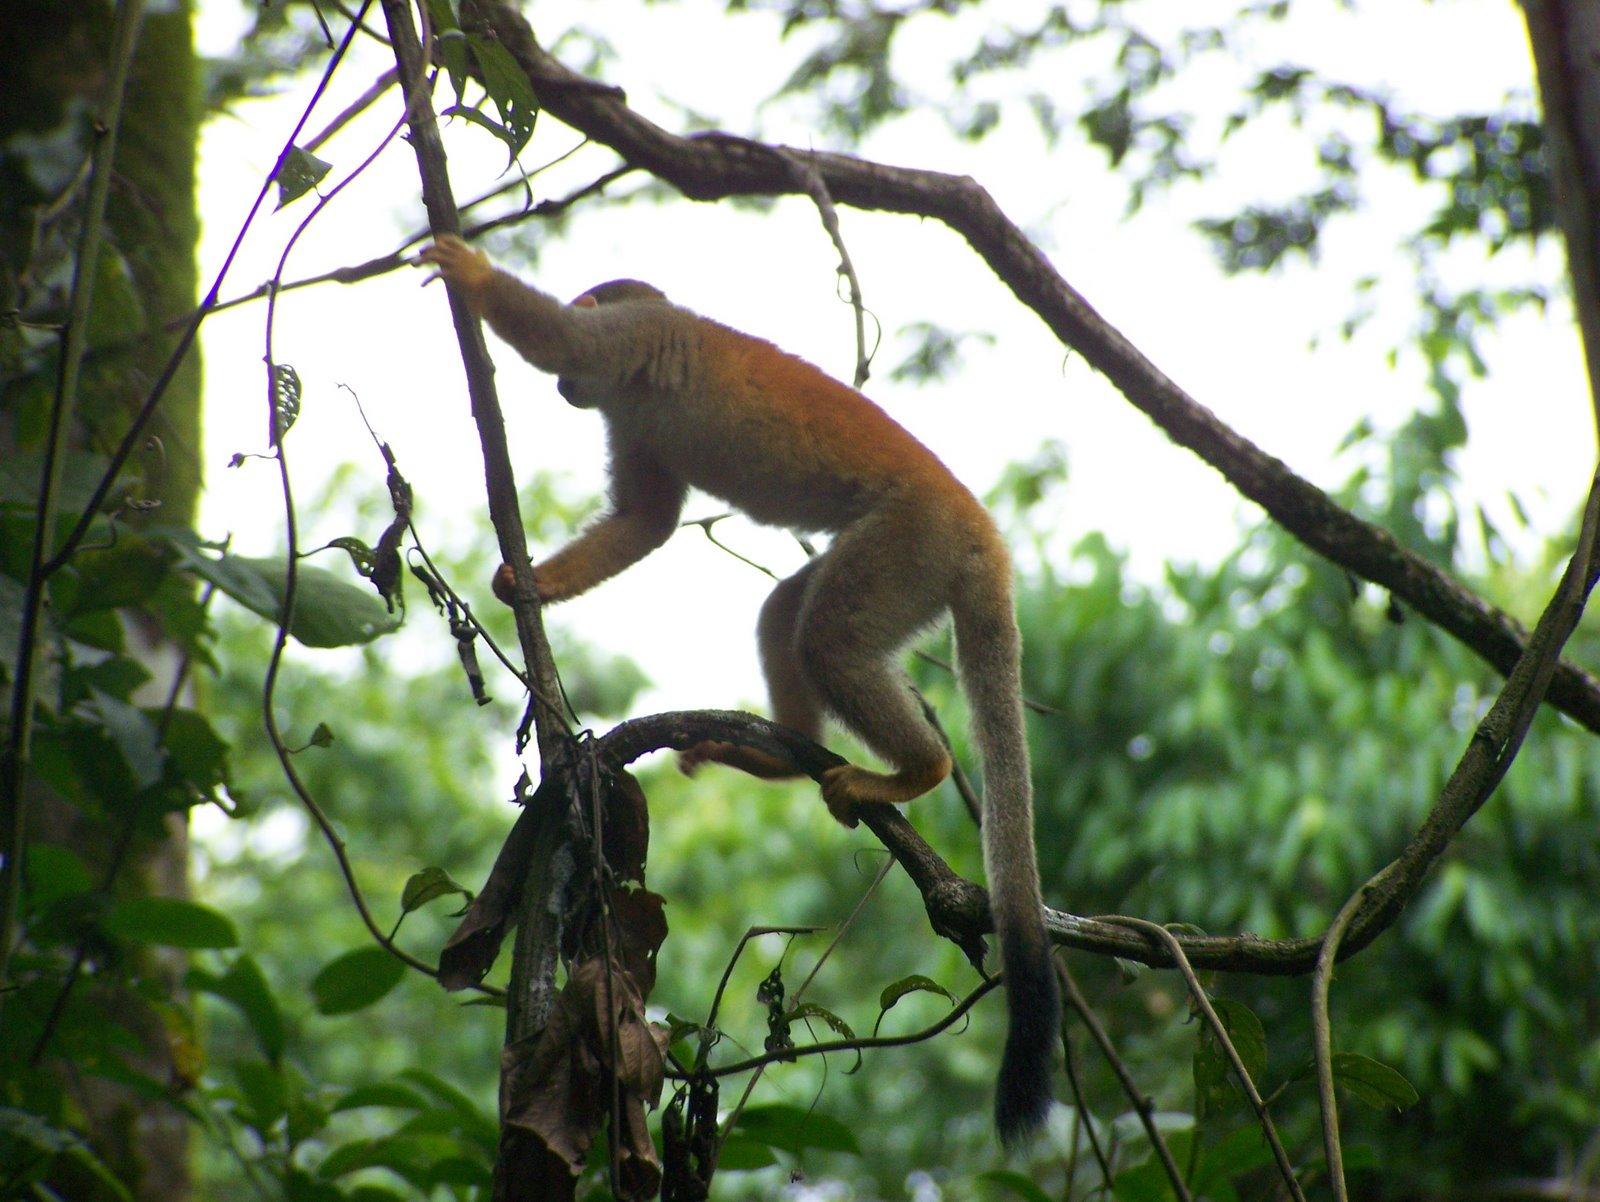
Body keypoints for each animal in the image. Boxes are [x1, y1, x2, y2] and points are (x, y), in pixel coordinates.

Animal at [419, 235, 1056, 1145]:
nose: (565, 395)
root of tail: (984, 534)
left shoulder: (636, 339)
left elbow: (566, 339)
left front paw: (472, 275)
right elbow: (645, 522)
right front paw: (532, 581)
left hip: (914, 542)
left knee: (828, 636)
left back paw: (918, 771)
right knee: (789, 614)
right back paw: (783, 758)